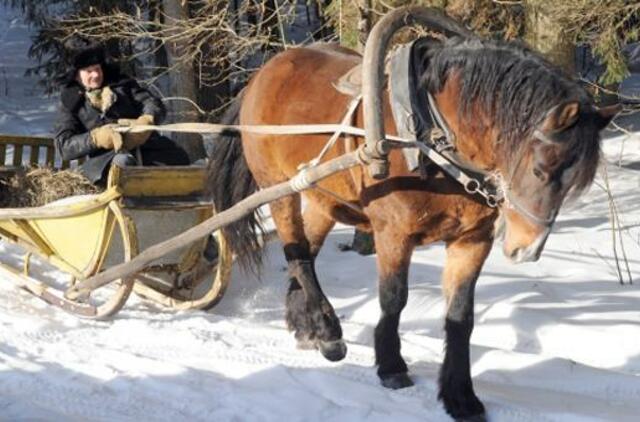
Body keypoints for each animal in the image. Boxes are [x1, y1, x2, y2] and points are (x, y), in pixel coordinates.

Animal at [208, 7, 616, 422]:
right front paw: (391, 366)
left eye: (575, 181)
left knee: (303, 254)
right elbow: (394, 299)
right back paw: (327, 331)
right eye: (540, 169)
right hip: (279, 189)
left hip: (322, 198)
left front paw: (459, 395)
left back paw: (307, 326)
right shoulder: (393, 235)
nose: (527, 250)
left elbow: (461, 316)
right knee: (297, 252)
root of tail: (264, 73)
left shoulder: (472, 240)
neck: (428, 136)